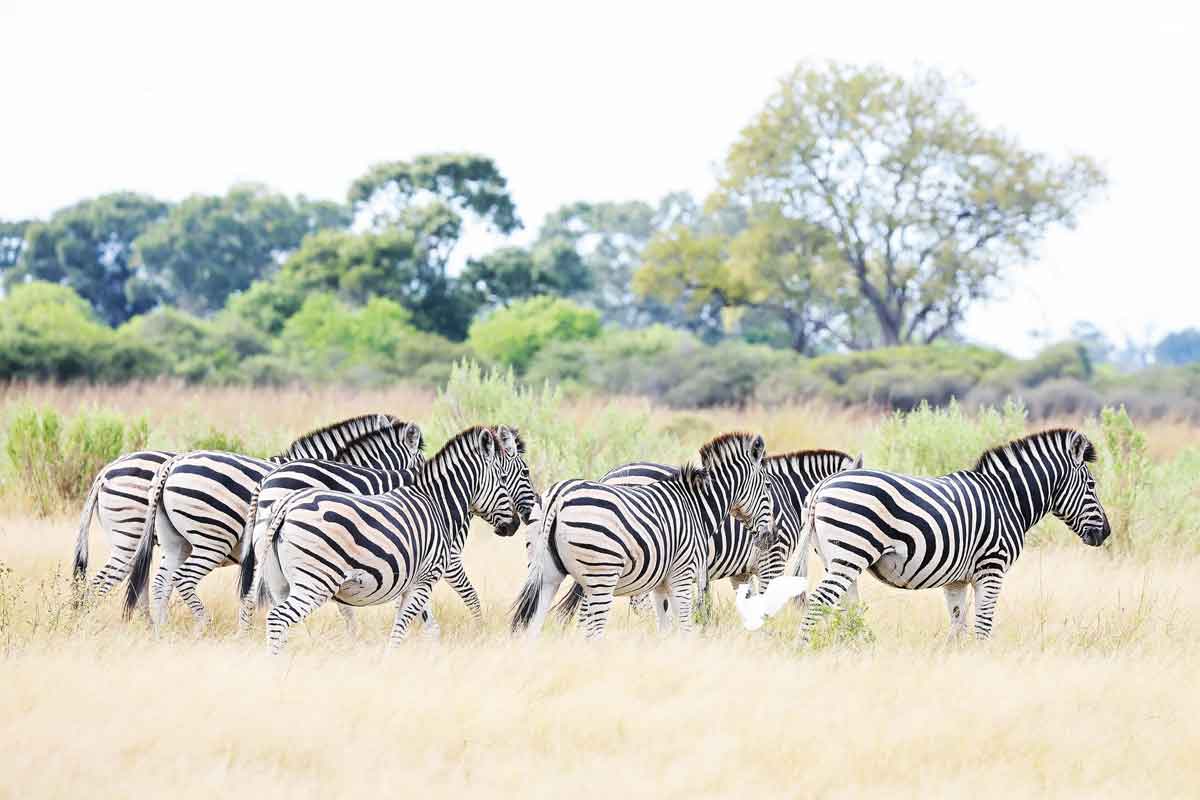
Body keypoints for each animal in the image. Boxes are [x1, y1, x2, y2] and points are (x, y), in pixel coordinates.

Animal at [118, 417, 427, 628]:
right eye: (422, 459)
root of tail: (172, 466)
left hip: (174, 540)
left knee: (158, 582)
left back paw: (160, 629)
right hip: (206, 536)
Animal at [234, 424, 535, 633]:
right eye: (524, 473)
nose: (523, 518)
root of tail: (268, 479)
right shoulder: (445, 558)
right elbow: (469, 596)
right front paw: (477, 629)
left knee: (251, 598)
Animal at [511, 431, 772, 638]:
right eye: (769, 486)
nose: (770, 536)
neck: (696, 506)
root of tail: (558, 496)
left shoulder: (662, 582)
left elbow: (666, 625)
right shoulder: (683, 573)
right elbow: (686, 624)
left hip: (546, 574)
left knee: (535, 624)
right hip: (601, 575)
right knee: (593, 629)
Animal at [556, 448, 859, 623]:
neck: (789, 493)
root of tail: (608, 476)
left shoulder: (743, 570)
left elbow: (745, 601)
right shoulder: (772, 557)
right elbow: (765, 597)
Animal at [792, 429, 1108, 642]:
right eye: (1092, 485)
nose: (1105, 532)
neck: (1006, 499)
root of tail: (822, 486)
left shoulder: (956, 580)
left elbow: (958, 624)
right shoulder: (991, 568)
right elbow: (982, 624)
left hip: (837, 559)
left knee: (847, 606)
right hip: (850, 553)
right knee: (820, 600)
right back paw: (802, 648)